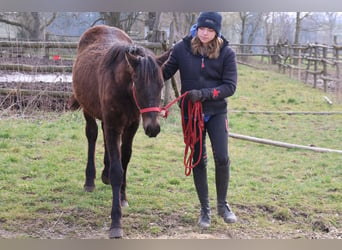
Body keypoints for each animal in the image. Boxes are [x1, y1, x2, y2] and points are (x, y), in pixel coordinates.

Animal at [69, 24, 171, 238]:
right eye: (138, 84)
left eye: (160, 84)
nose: (153, 128)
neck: (124, 90)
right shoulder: (114, 124)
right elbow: (118, 169)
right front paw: (116, 222)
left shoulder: (131, 126)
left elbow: (124, 160)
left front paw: (122, 196)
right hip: (88, 110)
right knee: (92, 135)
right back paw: (90, 180)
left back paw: (104, 174)